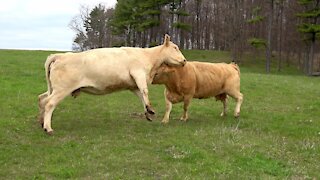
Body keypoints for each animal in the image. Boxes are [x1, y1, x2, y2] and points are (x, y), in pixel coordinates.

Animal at [37, 34, 186, 134]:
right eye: (175, 47)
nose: (184, 60)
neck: (149, 58)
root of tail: (60, 55)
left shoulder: (133, 85)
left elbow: (141, 96)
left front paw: (148, 112)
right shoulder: (138, 74)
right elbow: (145, 91)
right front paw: (149, 109)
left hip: (54, 88)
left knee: (42, 99)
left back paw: (41, 122)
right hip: (62, 89)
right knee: (49, 103)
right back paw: (48, 128)